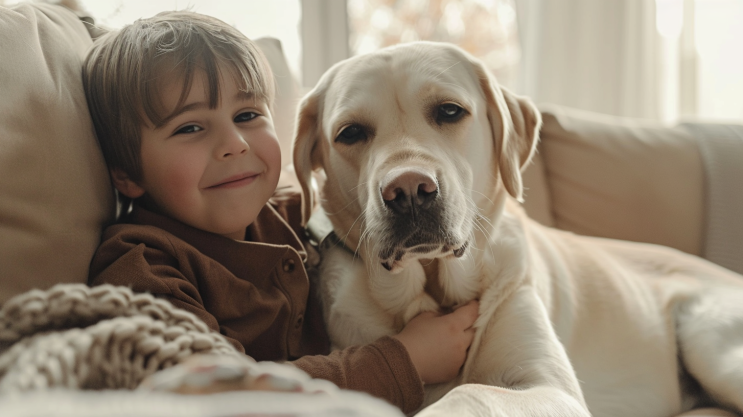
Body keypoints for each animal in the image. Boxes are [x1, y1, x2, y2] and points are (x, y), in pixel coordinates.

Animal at [290, 42, 743, 416]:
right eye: (350, 133)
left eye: (449, 111)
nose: (409, 191)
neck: (434, 289)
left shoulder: (549, 387)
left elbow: (470, 392)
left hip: (711, 344)